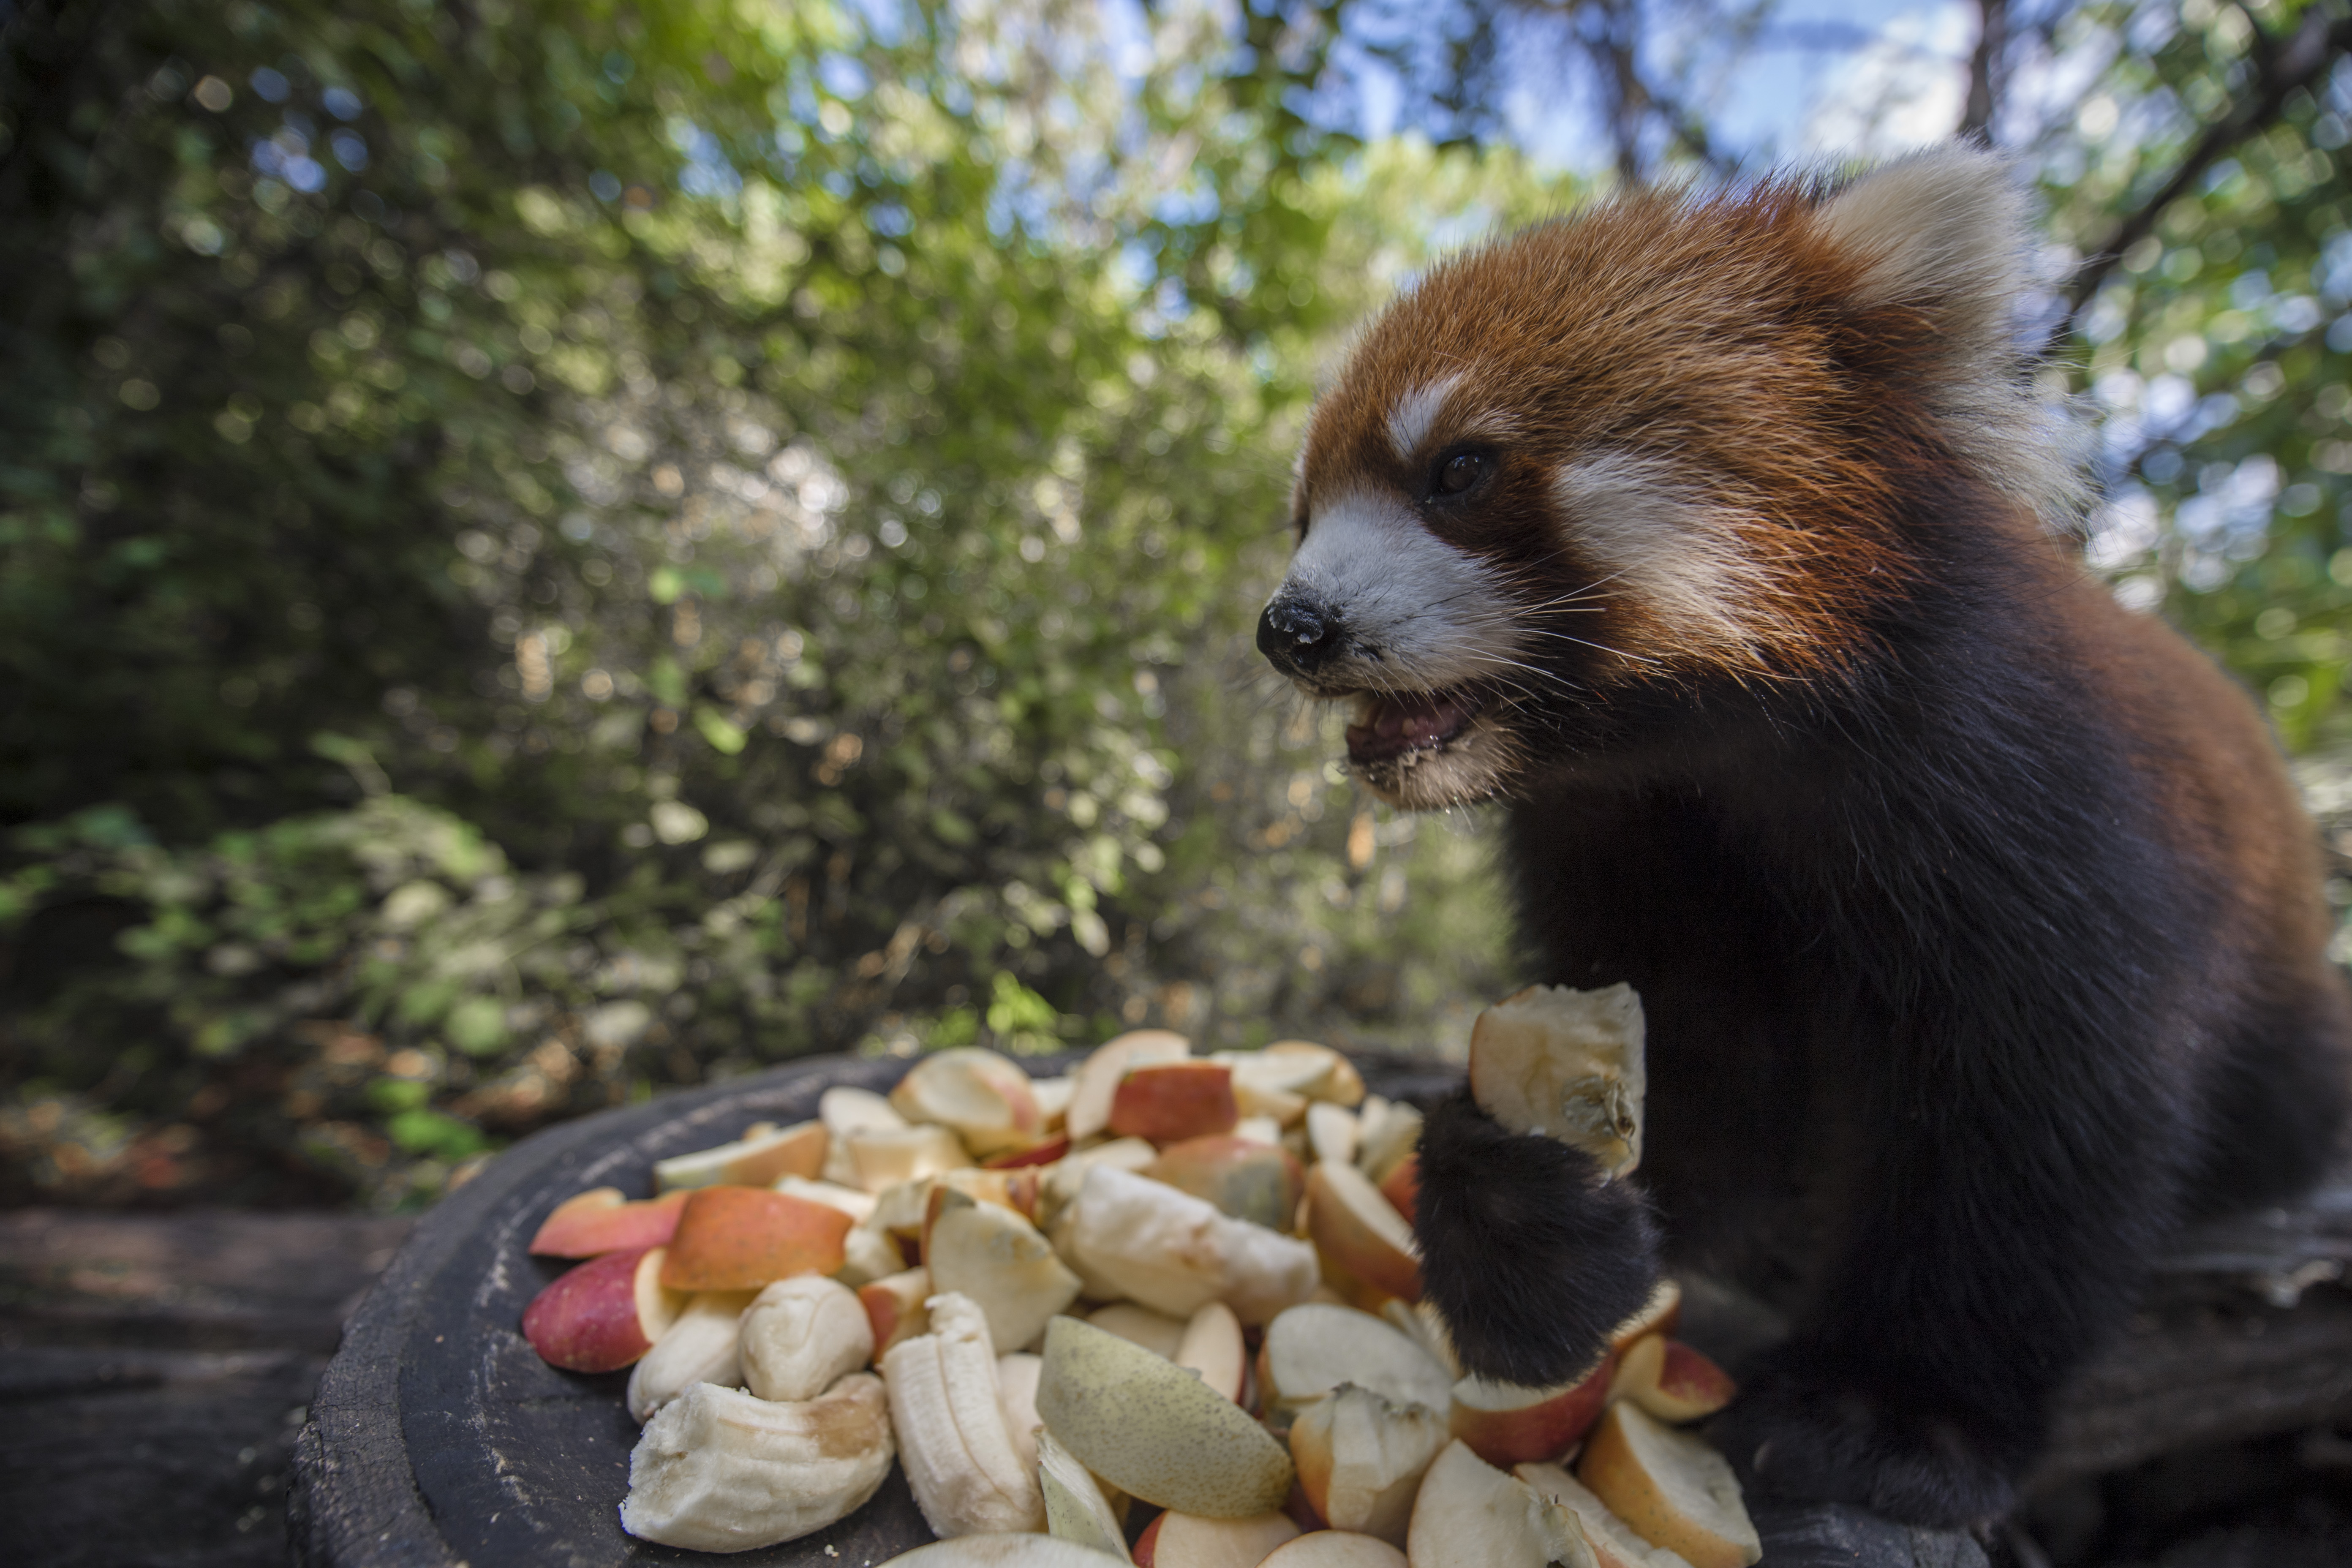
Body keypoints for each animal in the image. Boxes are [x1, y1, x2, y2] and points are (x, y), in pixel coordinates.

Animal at [1260, 150, 2352, 1533]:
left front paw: (1885, 1413)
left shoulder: (2015, 798)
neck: (1706, 759)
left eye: (1456, 470)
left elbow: (2035, 1112)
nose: (1288, 629)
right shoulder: (1629, 834)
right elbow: (1701, 1071)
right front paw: (1523, 1214)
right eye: (1303, 511)